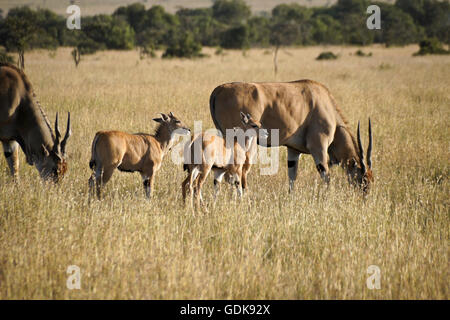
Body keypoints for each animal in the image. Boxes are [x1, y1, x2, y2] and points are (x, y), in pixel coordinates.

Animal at [209, 81, 374, 194]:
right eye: (363, 177)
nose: (365, 196)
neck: (327, 107)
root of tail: (219, 89)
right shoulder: (319, 147)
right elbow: (326, 176)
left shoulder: (293, 150)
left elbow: (292, 178)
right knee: (237, 174)